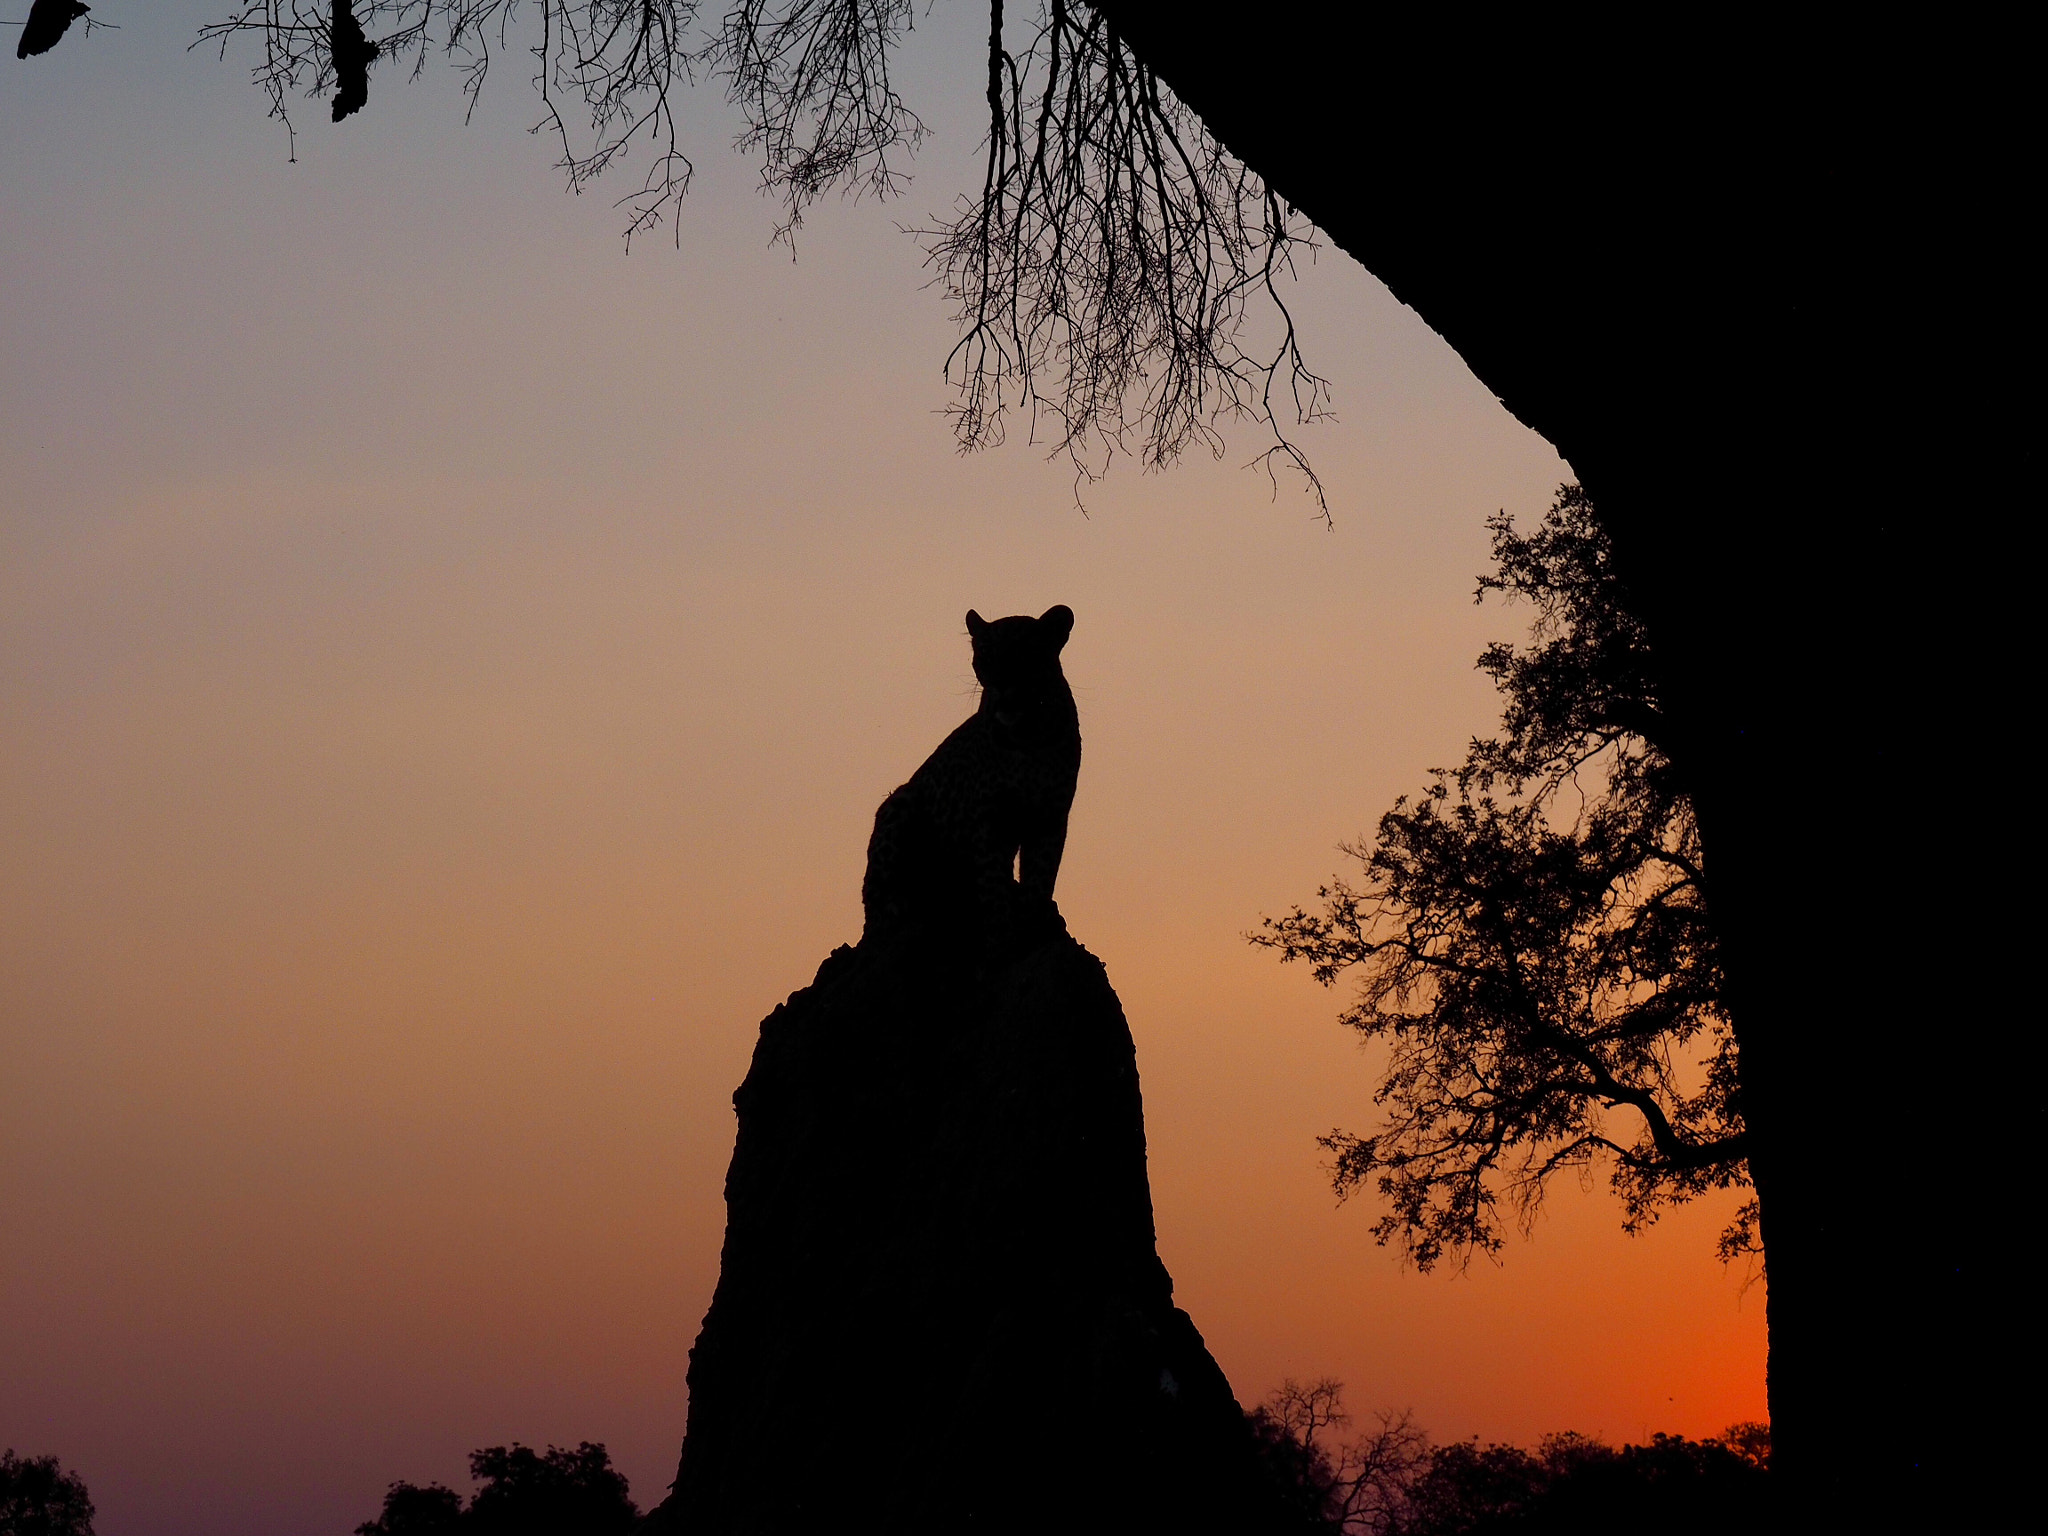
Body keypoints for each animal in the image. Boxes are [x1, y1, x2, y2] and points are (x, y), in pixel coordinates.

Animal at [864, 606, 1089, 946]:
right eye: (984, 653)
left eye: (1022, 650)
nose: (1000, 683)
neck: (1028, 735)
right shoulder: (990, 821)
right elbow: (993, 887)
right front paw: (1002, 936)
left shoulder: (1049, 817)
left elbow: (1041, 878)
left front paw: (1034, 925)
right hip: (898, 804)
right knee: (877, 900)